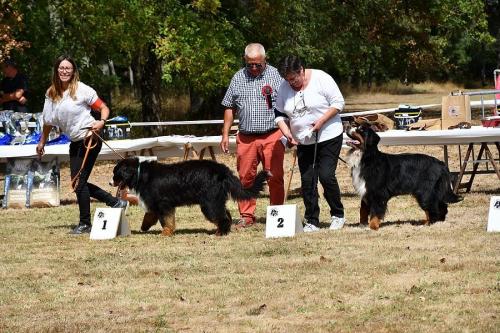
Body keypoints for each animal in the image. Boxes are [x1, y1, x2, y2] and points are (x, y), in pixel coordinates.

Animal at [113, 157, 270, 235]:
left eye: (116, 174)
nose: (110, 182)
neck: (141, 174)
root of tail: (222, 169)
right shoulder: (155, 203)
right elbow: (149, 216)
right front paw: (144, 227)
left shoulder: (164, 204)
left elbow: (166, 221)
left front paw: (166, 233)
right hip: (216, 200)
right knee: (226, 214)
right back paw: (223, 230)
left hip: (209, 203)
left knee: (222, 217)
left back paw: (220, 233)